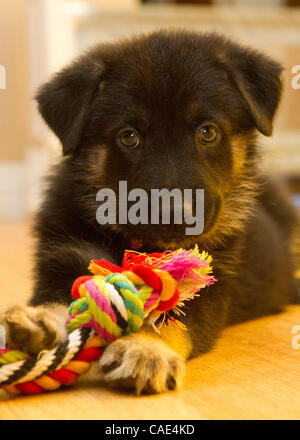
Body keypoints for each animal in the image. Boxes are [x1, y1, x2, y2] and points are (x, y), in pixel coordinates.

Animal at [1, 31, 298, 396]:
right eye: (129, 136)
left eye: (208, 132)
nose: (174, 215)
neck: (136, 242)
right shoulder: (63, 256)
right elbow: (61, 298)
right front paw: (40, 322)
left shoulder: (209, 287)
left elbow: (172, 320)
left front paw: (145, 349)